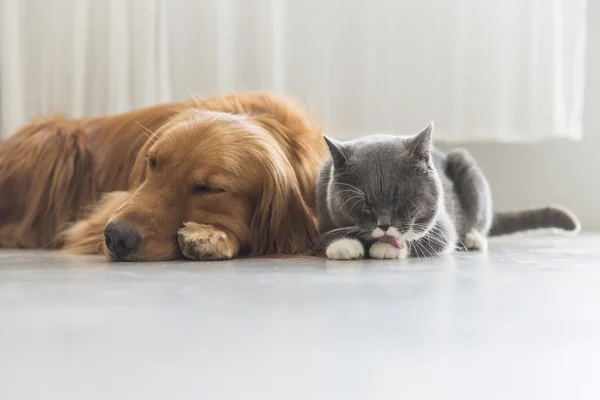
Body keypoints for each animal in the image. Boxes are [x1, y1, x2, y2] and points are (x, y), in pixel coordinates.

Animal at [0, 94, 328, 262]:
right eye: (153, 162)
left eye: (210, 188)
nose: (116, 237)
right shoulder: (107, 209)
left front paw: (212, 236)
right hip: (58, 142)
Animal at [318, 122, 580, 260]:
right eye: (364, 203)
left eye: (400, 198)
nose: (384, 225)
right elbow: (326, 234)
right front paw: (344, 246)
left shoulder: (442, 225)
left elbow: (434, 239)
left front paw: (385, 248)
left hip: (467, 167)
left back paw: (474, 239)